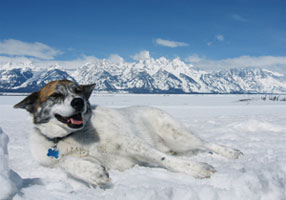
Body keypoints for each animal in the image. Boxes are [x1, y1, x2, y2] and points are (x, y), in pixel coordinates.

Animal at [14, 79, 242, 186]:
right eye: (56, 95)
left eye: (78, 91)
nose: (79, 102)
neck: (72, 136)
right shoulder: (61, 157)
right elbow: (65, 162)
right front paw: (93, 173)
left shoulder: (131, 143)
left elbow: (163, 159)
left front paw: (196, 168)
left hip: (176, 135)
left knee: (204, 143)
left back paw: (231, 152)